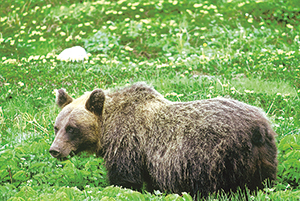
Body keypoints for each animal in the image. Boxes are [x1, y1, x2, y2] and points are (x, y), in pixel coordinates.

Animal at [48, 82, 276, 198]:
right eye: (56, 126)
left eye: (71, 128)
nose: (55, 150)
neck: (107, 127)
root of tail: (259, 126)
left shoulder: (127, 144)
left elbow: (125, 179)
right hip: (263, 157)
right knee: (262, 182)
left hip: (217, 156)